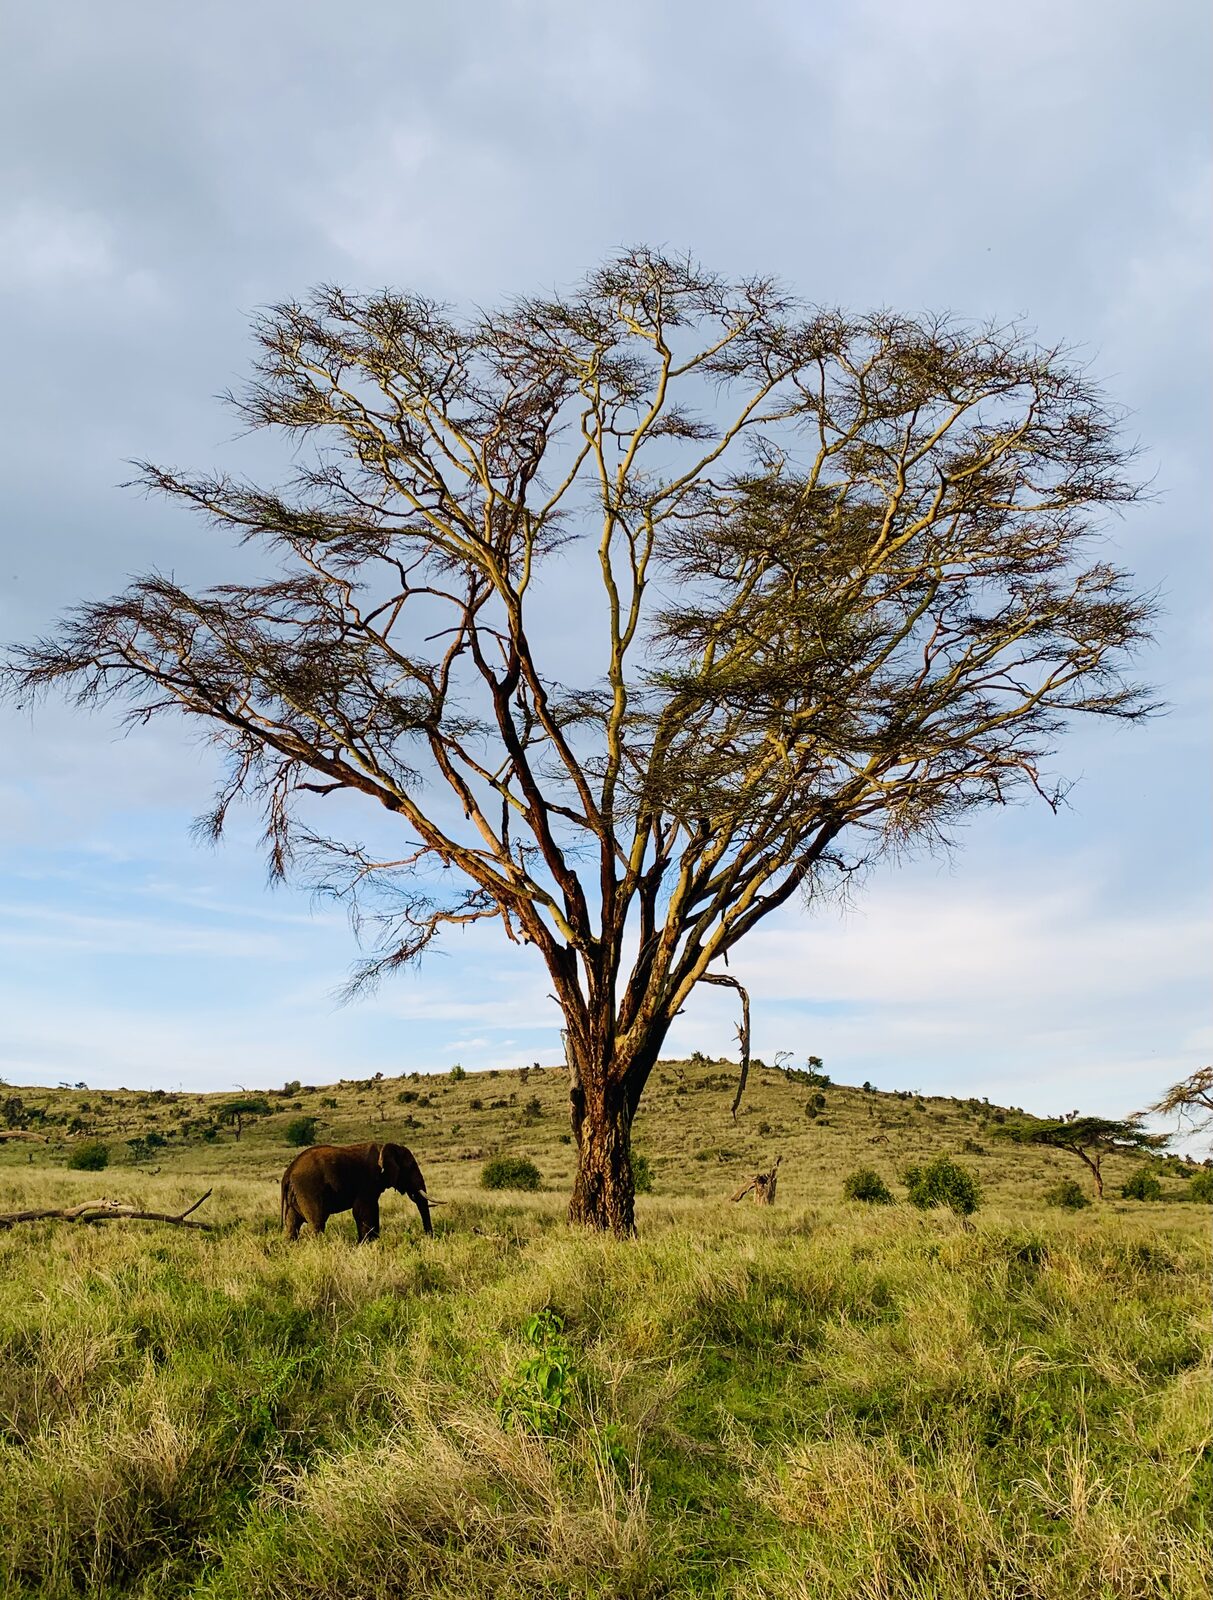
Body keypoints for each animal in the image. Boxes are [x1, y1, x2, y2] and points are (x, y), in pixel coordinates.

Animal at [280, 1142, 433, 1241]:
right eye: (411, 1167)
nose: (429, 1237)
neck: (385, 1147)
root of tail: (288, 1172)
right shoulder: (368, 1180)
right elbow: (364, 1210)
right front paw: (367, 1243)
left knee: (291, 1225)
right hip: (309, 1189)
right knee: (317, 1223)